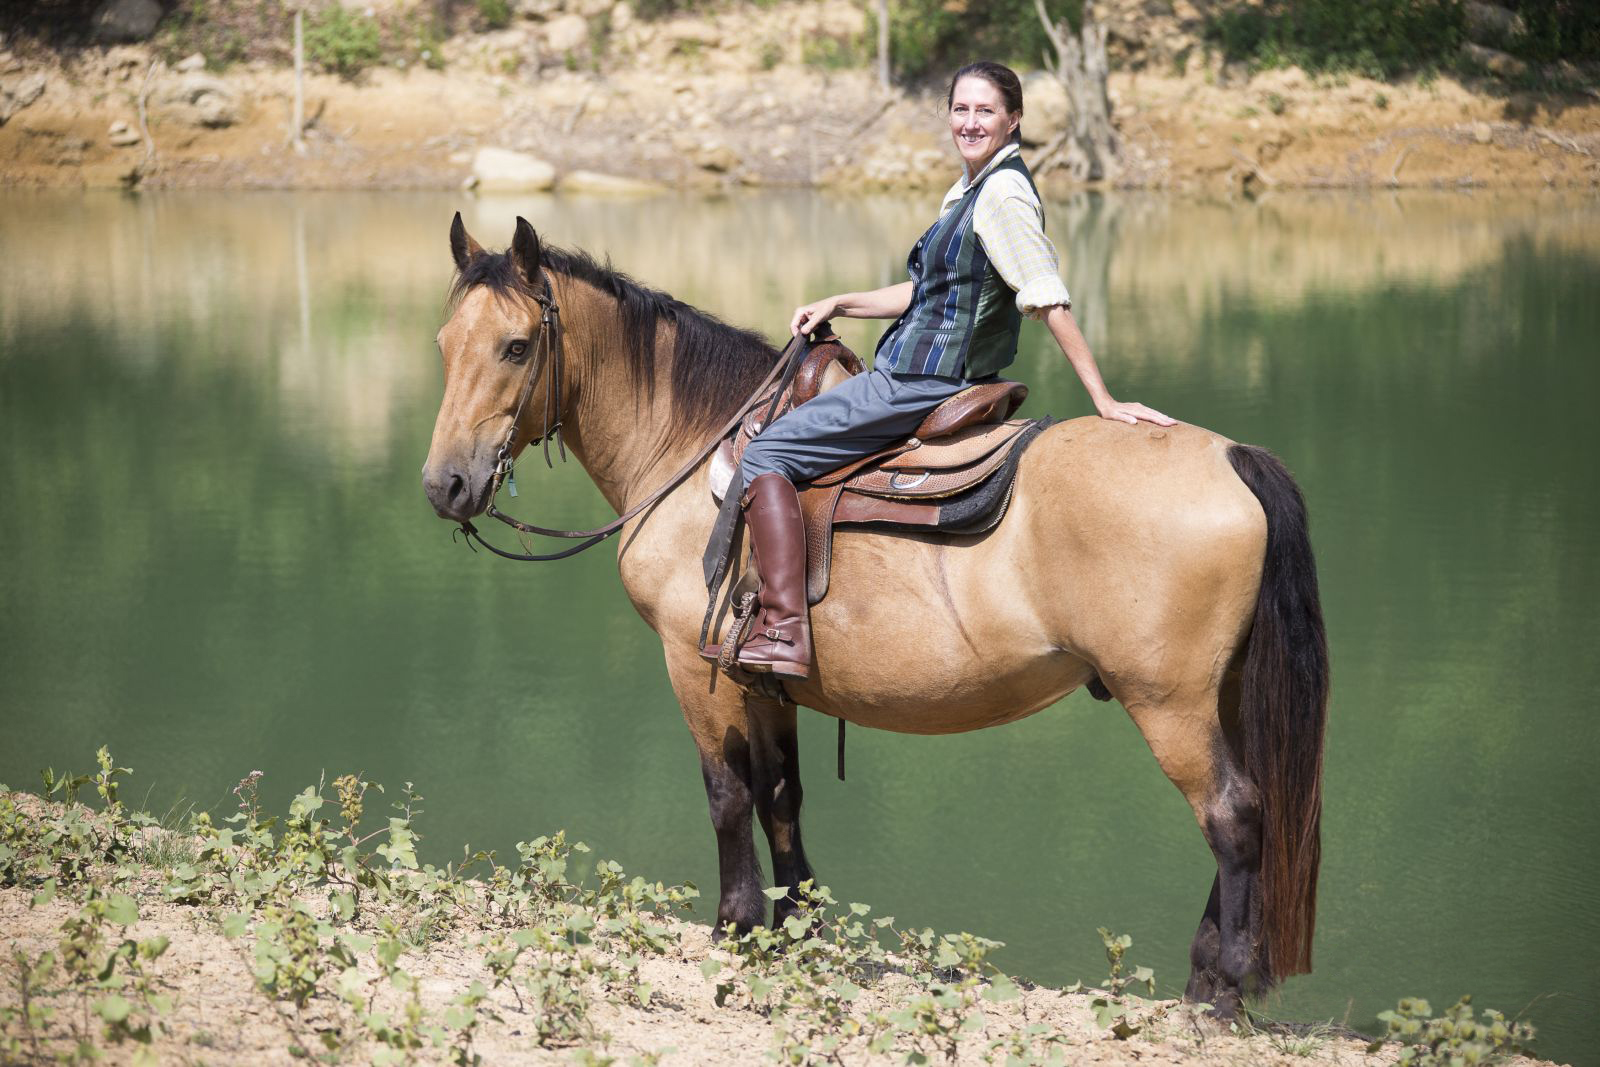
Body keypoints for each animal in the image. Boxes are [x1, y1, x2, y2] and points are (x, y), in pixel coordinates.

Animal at [421, 214, 1329, 1018]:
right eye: (443, 344)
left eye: (516, 345)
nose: (445, 485)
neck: (691, 446)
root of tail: (1232, 457)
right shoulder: (766, 678)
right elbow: (780, 794)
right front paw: (796, 926)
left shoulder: (695, 665)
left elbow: (726, 793)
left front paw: (734, 925)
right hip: (1216, 698)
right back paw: (1207, 974)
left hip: (1167, 703)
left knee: (1233, 819)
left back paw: (1223, 987)